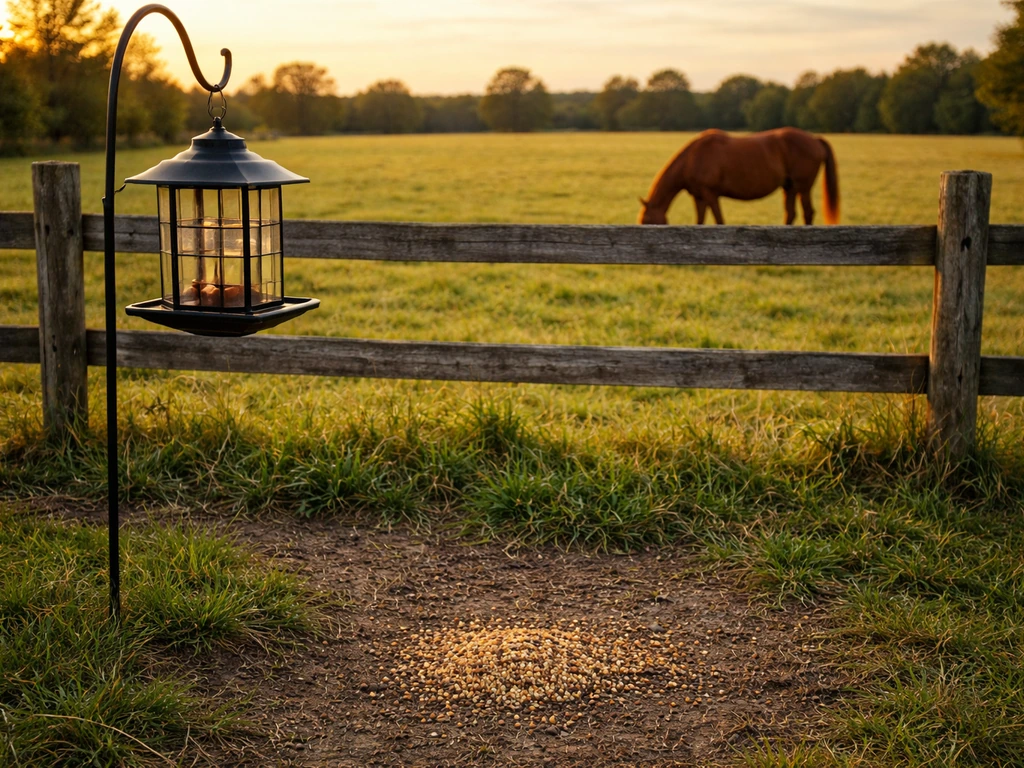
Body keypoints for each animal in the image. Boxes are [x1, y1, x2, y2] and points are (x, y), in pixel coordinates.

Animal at [638, 127, 839, 226]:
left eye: (647, 221)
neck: (693, 157)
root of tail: (815, 139)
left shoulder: (710, 194)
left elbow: (719, 221)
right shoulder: (699, 197)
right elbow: (700, 221)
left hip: (803, 187)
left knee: (807, 212)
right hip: (789, 187)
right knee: (791, 213)